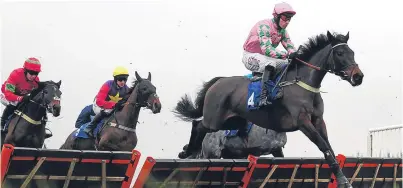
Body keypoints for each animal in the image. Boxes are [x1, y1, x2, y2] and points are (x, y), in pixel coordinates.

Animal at [174, 31, 366, 187]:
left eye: (352, 52)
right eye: (340, 53)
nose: (358, 76)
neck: (303, 84)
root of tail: (218, 81)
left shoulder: (318, 120)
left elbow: (329, 148)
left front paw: (342, 178)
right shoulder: (302, 121)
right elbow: (323, 145)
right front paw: (343, 180)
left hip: (233, 121)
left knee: (200, 126)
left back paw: (188, 151)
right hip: (214, 120)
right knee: (198, 125)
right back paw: (187, 152)